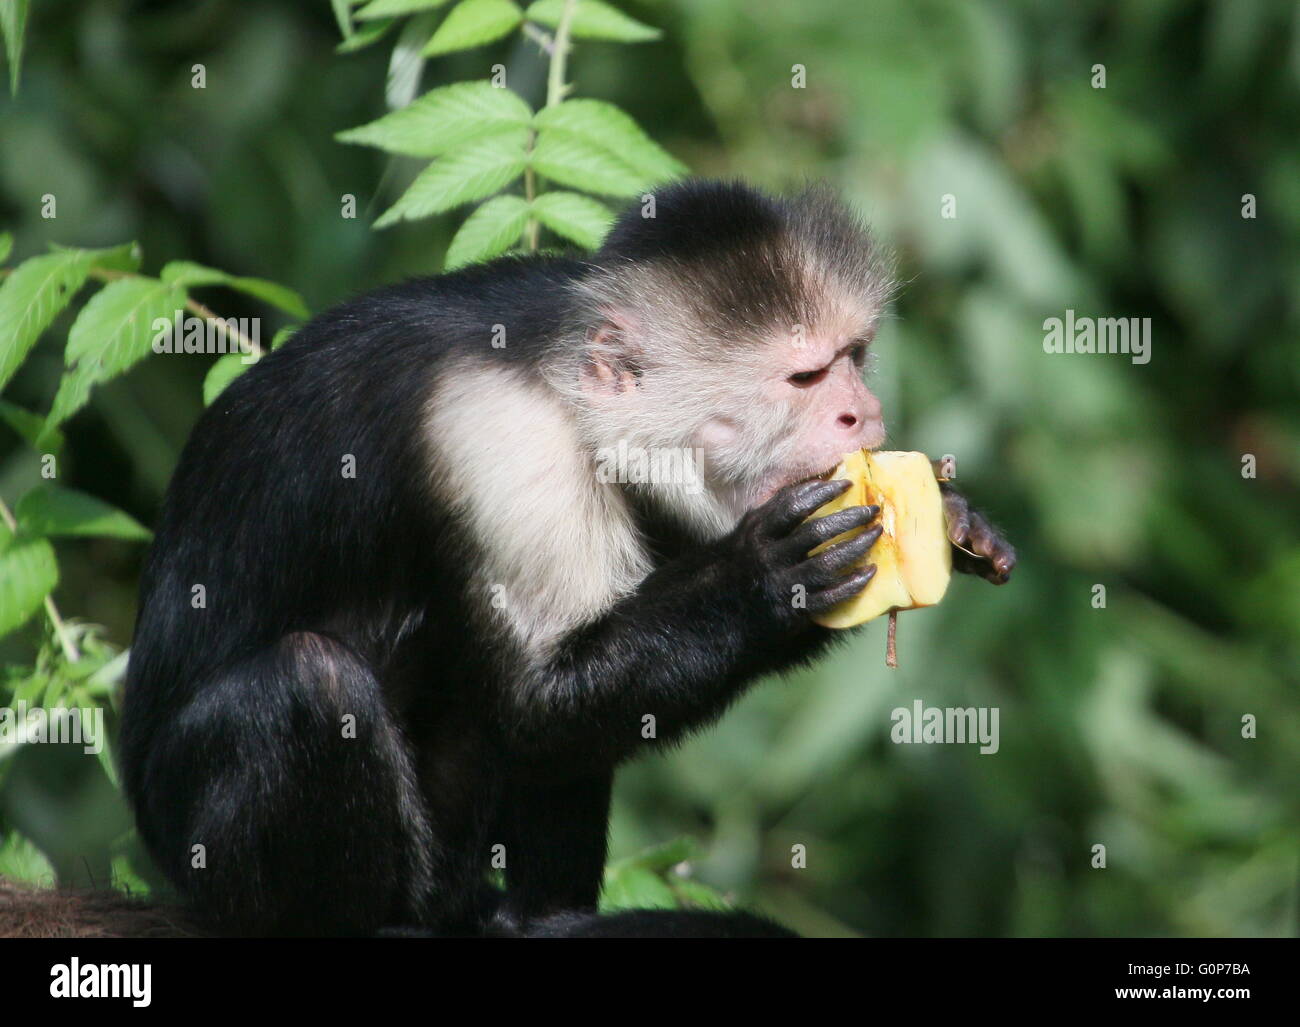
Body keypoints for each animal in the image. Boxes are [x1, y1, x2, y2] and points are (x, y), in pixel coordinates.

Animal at [119, 179, 1013, 941]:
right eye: (804, 377)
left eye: (854, 355)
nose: (862, 409)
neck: (562, 373)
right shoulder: (500, 432)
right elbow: (537, 704)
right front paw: (768, 579)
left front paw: (957, 519)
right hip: (194, 840)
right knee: (311, 681)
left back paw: (535, 917)